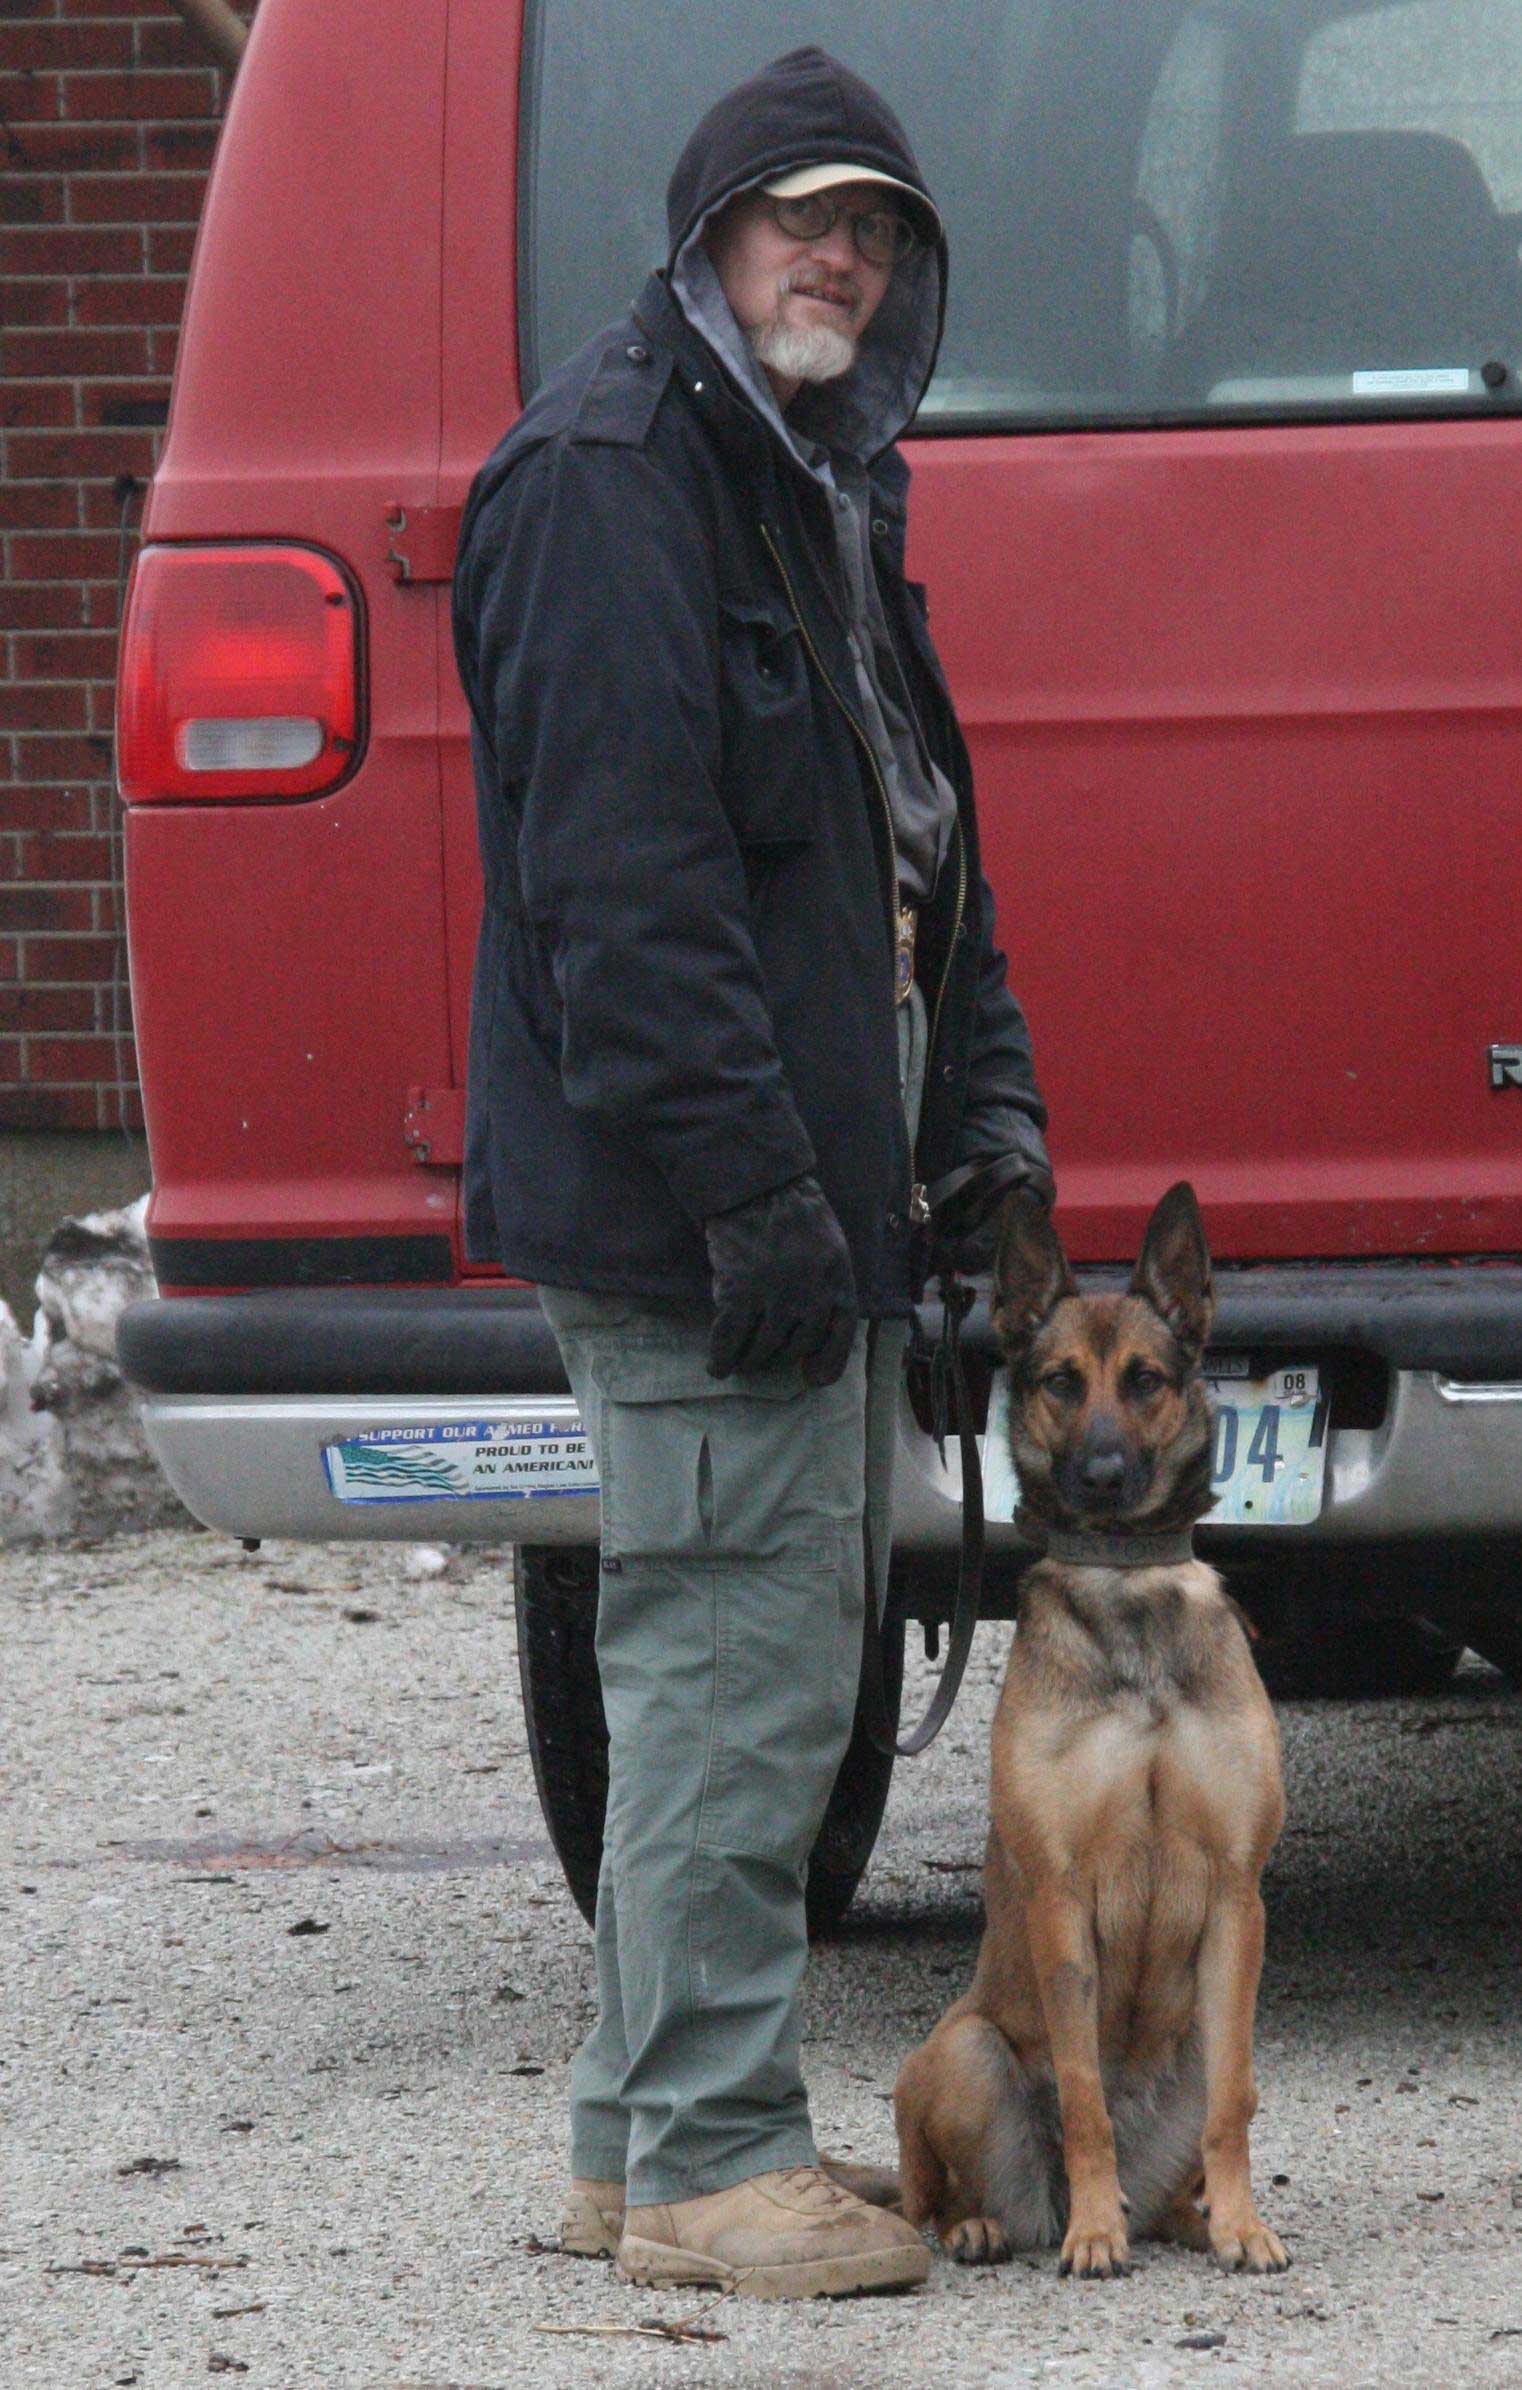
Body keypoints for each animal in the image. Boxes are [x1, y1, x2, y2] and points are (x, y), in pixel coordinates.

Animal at [894, 1183, 1287, 2278]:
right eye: (1062, 1382)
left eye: (1145, 1380)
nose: (1105, 1473)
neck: (1128, 1584)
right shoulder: (1062, 1896)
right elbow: (1079, 2094)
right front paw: (1094, 2236)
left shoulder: (1236, 1895)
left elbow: (1235, 2103)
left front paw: (1242, 2223)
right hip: (961, 2049)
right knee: (929, 2192)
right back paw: (1006, 2222)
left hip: (1195, 2046)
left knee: (1205, 2127)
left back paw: (1187, 2217)